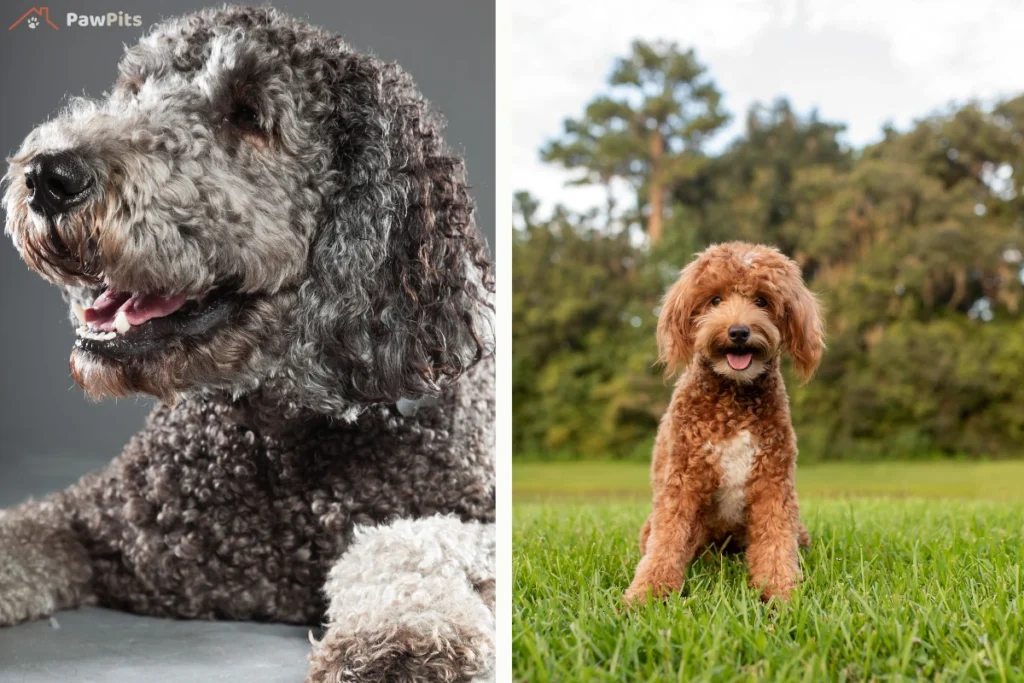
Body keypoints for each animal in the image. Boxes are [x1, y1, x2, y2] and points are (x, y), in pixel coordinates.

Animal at [0, 6, 495, 683]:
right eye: (134, 90)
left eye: (247, 115)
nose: (50, 174)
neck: (276, 447)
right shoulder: (90, 518)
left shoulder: (475, 516)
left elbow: (410, 542)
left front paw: (401, 638)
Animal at [622, 242, 823, 606]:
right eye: (715, 300)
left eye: (762, 300)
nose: (739, 331)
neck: (733, 398)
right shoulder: (682, 482)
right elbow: (667, 543)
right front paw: (648, 594)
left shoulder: (772, 483)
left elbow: (775, 543)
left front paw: (780, 593)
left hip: (797, 527)